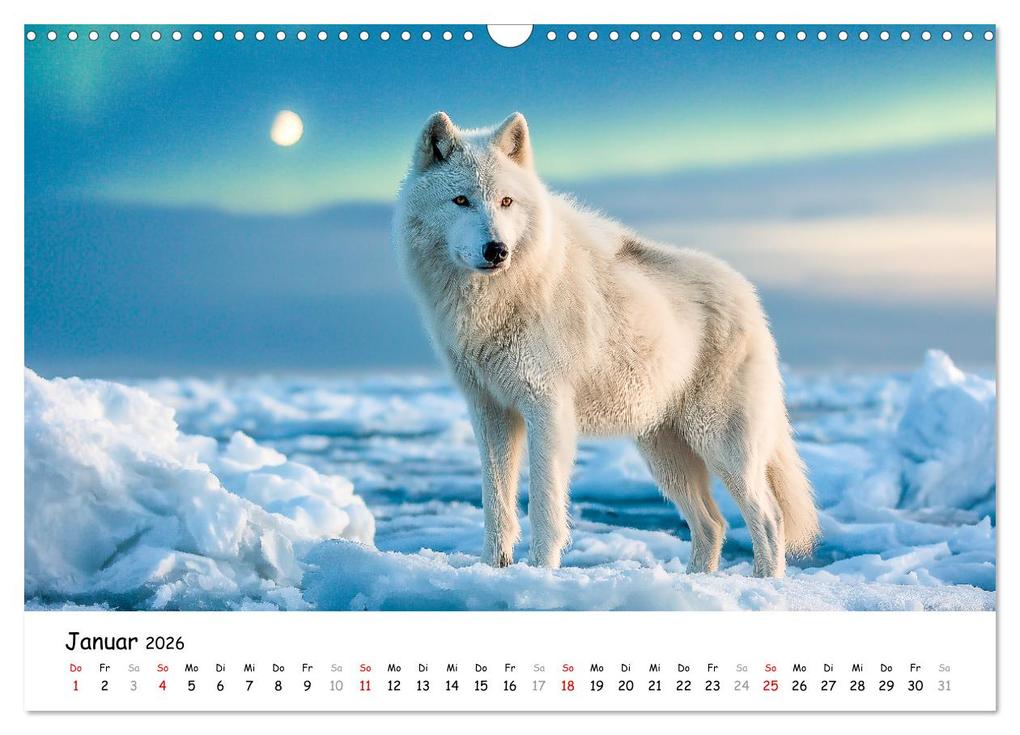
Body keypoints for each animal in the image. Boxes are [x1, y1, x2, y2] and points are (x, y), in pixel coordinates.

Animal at [392, 111, 819, 577]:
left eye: (506, 202)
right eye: (461, 200)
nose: (497, 250)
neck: (500, 299)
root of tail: (749, 296)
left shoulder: (546, 407)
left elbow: (544, 506)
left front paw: (540, 572)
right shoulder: (490, 411)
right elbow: (496, 506)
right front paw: (493, 570)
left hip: (721, 445)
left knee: (768, 519)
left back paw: (763, 582)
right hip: (665, 456)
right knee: (713, 525)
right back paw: (695, 581)